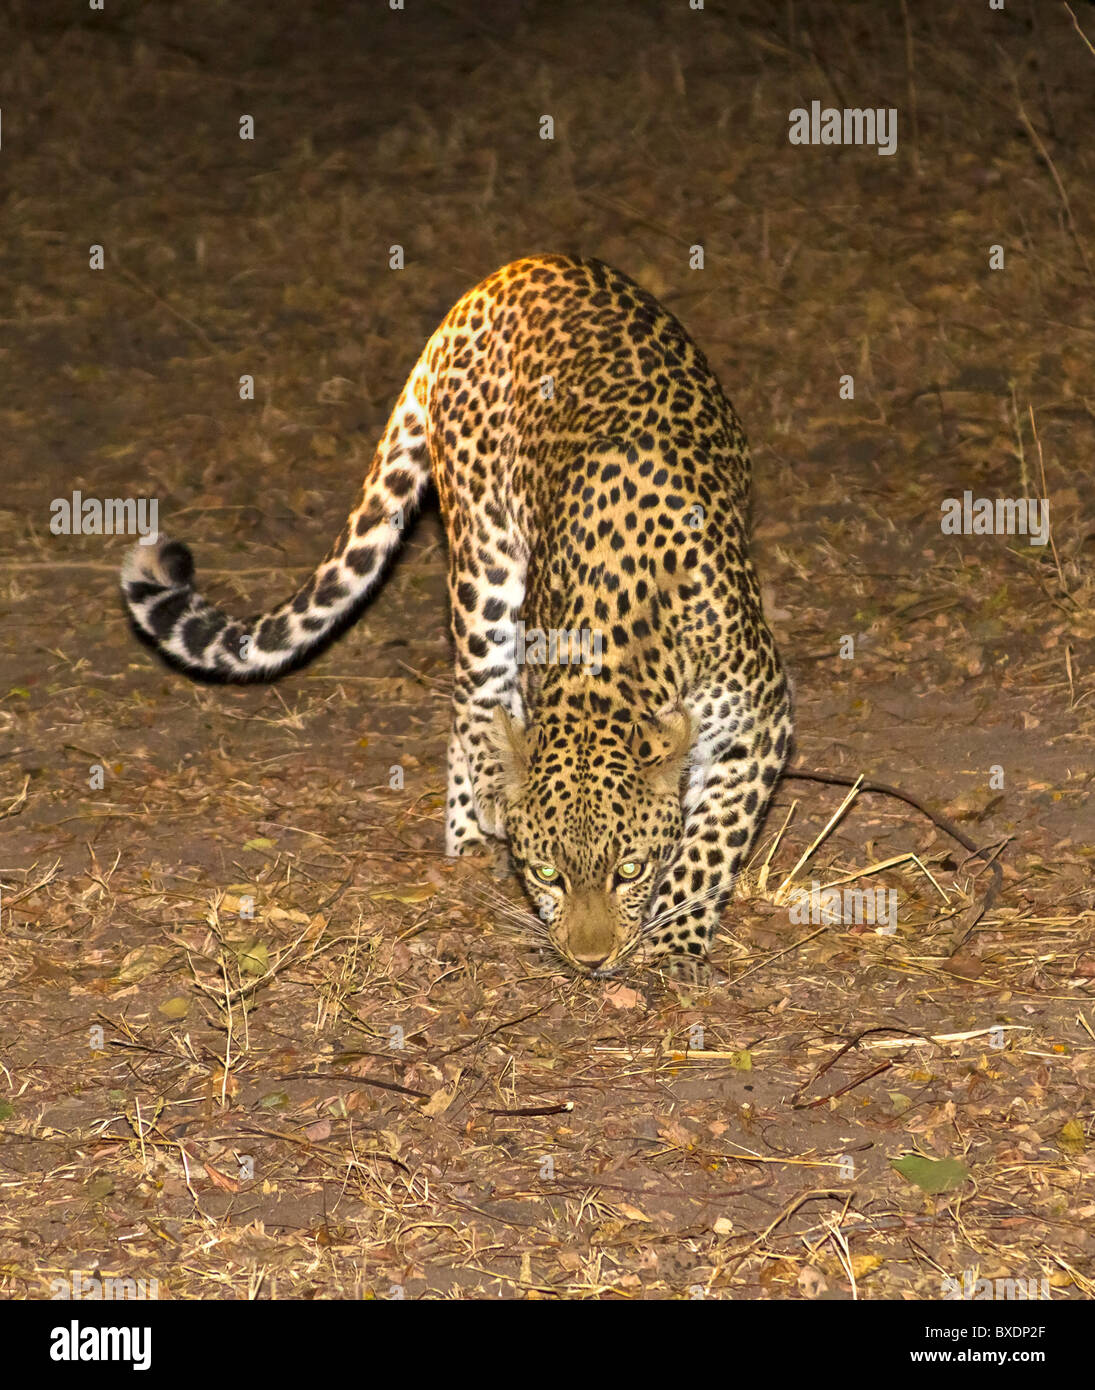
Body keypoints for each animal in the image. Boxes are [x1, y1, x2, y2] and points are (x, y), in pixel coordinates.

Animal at [122, 254, 793, 976]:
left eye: (629, 870)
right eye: (548, 874)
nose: (589, 961)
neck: (618, 655)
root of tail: (495, 282)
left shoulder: (759, 721)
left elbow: (711, 843)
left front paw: (673, 941)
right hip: (484, 556)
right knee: (475, 699)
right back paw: (473, 824)